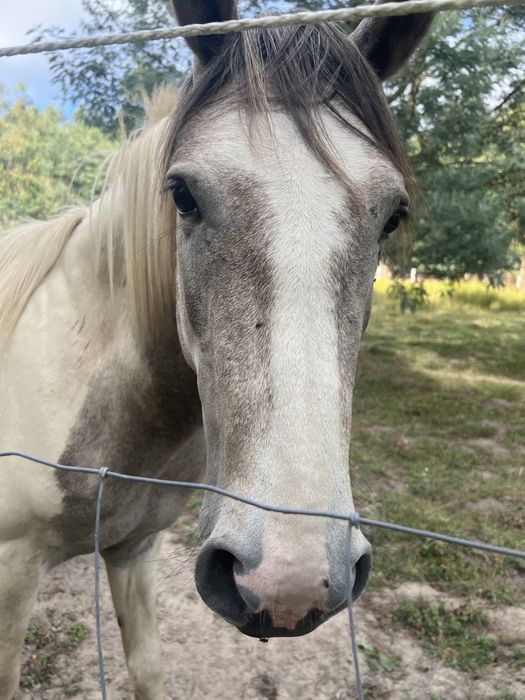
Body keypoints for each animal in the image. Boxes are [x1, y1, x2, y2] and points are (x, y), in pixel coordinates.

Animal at [0, 2, 433, 698]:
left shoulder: (135, 550)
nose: (289, 578)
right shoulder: (12, 570)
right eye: (182, 193)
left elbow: (148, 668)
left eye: (392, 214)